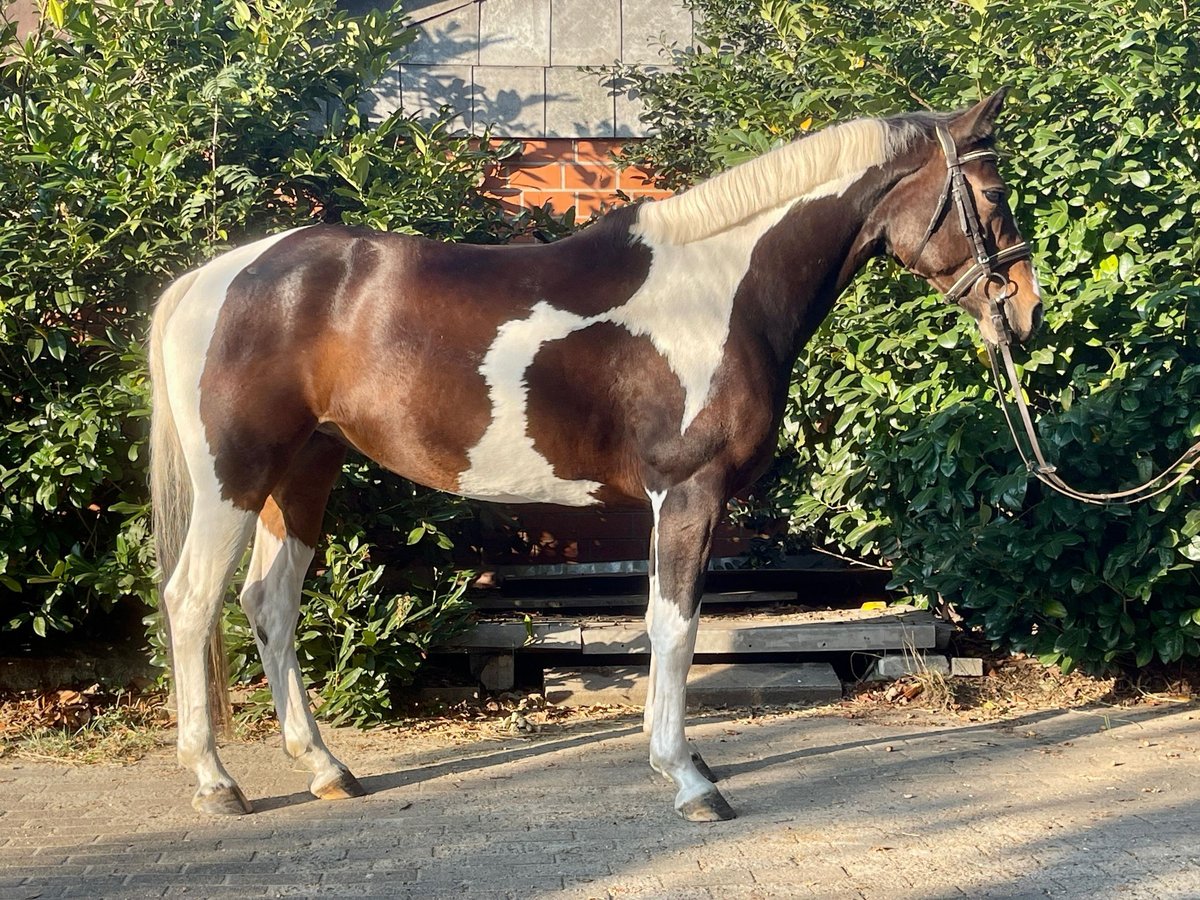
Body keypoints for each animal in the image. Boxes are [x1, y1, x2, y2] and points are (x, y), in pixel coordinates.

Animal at [149, 89, 1042, 822]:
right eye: (995, 195)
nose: (1026, 310)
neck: (720, 289)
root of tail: (213, 278)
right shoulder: (687, 492)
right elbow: (674, 627)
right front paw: (687, 778)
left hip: (306, 470)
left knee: (269, 602)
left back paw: (326, 768)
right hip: (235, 478)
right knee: (192, 601)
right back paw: (216, 782)